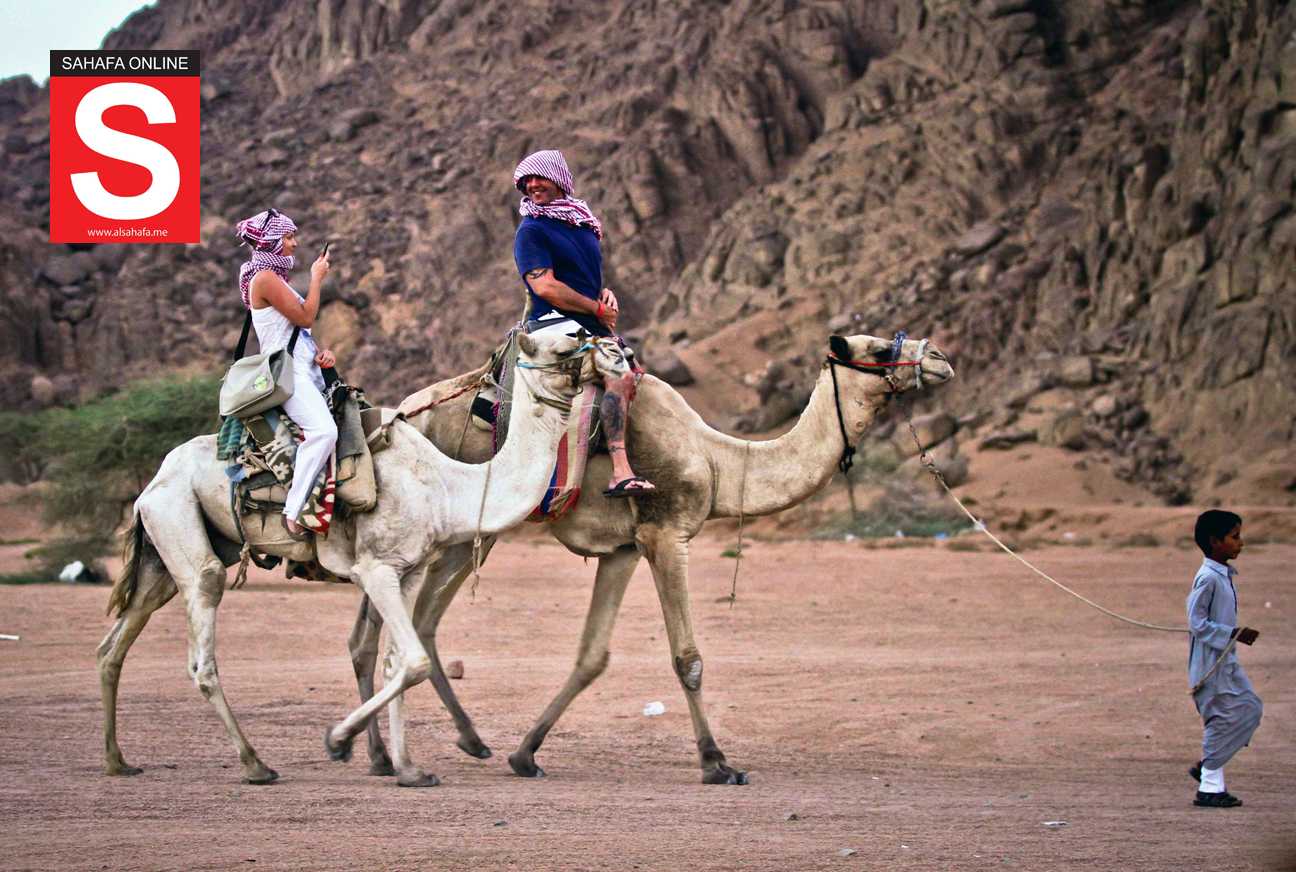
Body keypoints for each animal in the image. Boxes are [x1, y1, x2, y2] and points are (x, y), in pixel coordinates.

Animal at [96, 332, 619, 786]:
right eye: (566, 343)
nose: (618, 353)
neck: (447, 486)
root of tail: (150, 486)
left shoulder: (409, 571)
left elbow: (397, 662)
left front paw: (409, 769)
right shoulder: (377, 570)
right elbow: (414, 661)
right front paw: (339, 741)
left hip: (164, 556)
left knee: (112, 646)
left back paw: (117, 760)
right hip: (182, 528)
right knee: (202, 649)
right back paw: (255, 764)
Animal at [349, 332, 954, 784]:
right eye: (879, 347)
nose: (941, 359)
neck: (716, 459)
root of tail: (405, 412)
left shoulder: (624, 550)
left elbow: (592, 656)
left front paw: (526, 754)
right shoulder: (666, 532)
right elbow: (688, 657)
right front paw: (717, 763)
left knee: (390, 629)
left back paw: (408, 751)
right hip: (457, 532)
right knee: (409, 623)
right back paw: (414, 750)